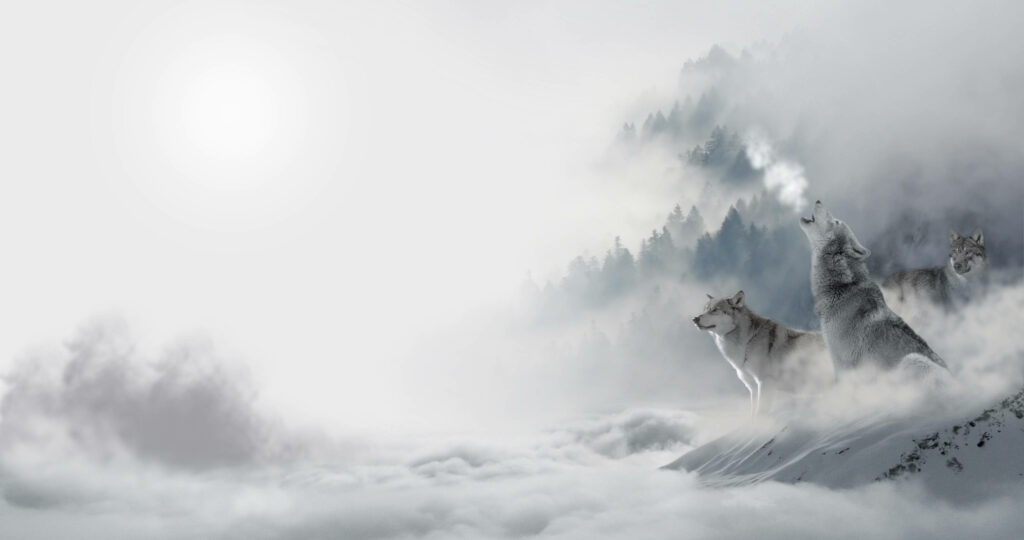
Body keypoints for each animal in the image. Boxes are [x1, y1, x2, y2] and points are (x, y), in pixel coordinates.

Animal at [693, 291, 833, 415]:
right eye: (705, 309)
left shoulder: (765, 383)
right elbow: (753, 414)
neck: (747, 342)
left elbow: (761, 413)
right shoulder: (753, 388)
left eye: (714, 310)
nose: (695, 319)